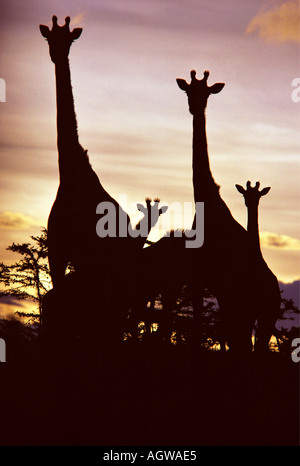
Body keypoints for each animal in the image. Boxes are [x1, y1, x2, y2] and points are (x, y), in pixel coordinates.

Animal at [237, 182, 282, 354]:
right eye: (245, 194)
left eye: (259, 196)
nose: (250, 202)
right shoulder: (245, 309)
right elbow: (246, 344)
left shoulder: (253, 309)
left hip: (270, 314)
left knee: (262, 345)